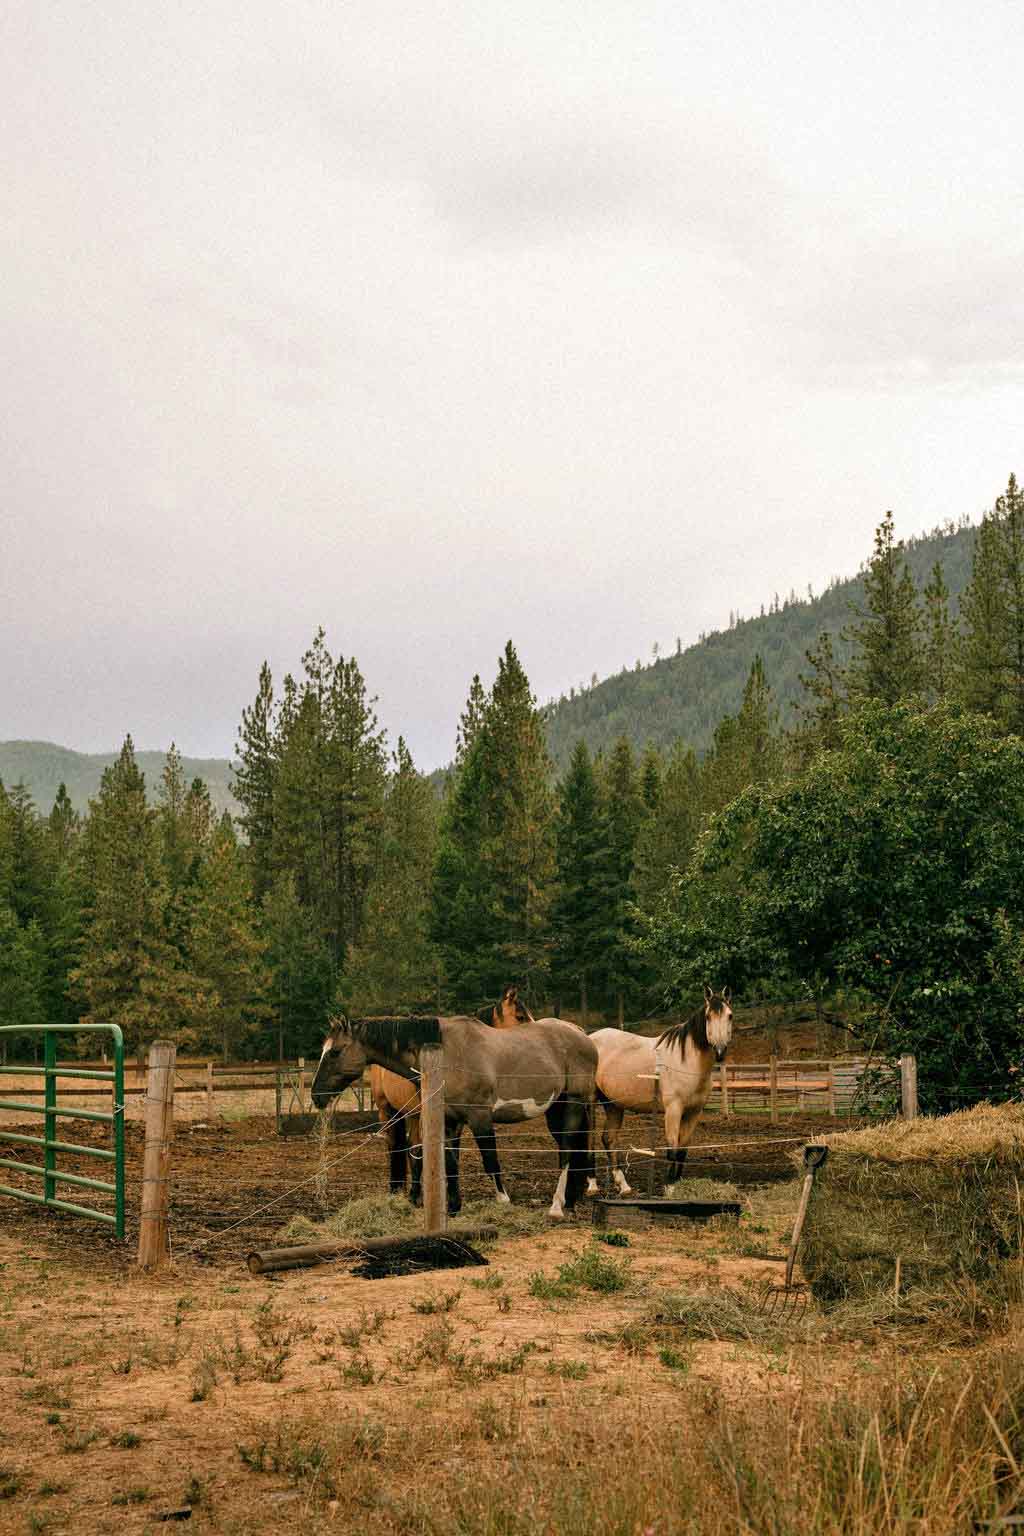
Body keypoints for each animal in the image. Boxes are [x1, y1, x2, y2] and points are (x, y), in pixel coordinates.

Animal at [312, 1013, 597, 1218]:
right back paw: (570, 1202)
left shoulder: (480, 1118)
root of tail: (582, 1034)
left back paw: (556, 1207)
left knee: (567, 1149)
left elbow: (490, 1159)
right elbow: (450, 1164)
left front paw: (503, 1201)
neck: (447, 1054)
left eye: (335, 1051)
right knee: (571, 1148)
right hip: (556, 1108)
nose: (317, 1096)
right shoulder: (450, 1122)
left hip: (574, 1103)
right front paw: (452, 1208)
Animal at [370, 986, 537, 1202]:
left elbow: (451, 1154)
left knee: (411, 1147)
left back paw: (414, 1194)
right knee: (395, 1147)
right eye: (520, 1016)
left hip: (411, 1114)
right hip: (388, 1111)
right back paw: (397, 1191)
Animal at [584, 987, 733, 1196]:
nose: (720, 1051)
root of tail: (589, 1038)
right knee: (589, 1138)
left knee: (608, 1139)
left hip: (613, 1104)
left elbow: (682, 1150)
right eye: (707, 1016)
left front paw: (677, 1185)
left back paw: (624, 1186)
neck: (687, 1062)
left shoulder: (694, 1113)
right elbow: (672, 1149)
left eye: (729, 1016)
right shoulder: (673, 1110)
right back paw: (592, 1185)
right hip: (590, 1100)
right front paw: (669, 1187)